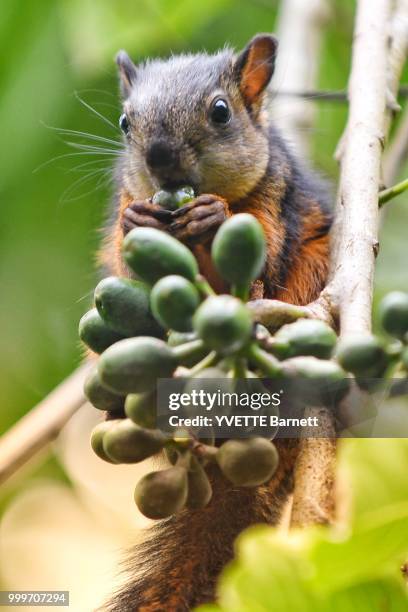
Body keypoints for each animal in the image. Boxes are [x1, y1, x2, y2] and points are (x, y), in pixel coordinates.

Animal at [100, 34, 334, 612]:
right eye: (125, 122)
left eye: (221, 112)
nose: (159, 157)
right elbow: (128, 254)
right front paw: (135, 221)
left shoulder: (276, 194)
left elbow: (262, 247)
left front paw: (215, 217)